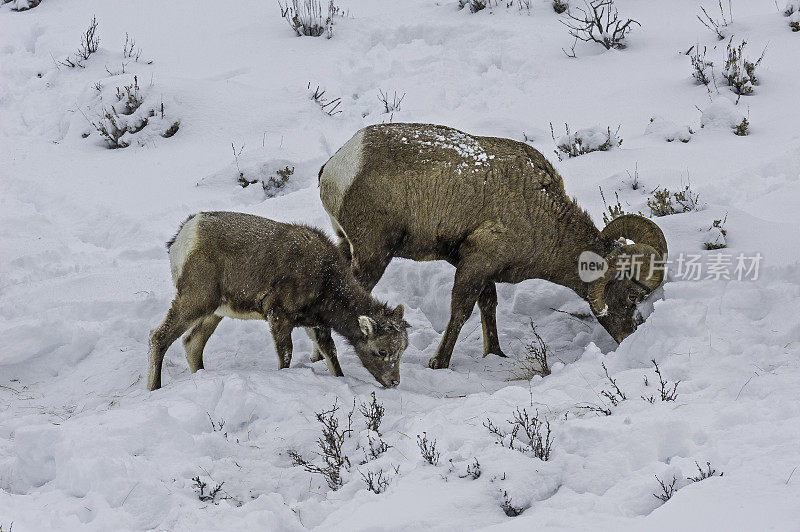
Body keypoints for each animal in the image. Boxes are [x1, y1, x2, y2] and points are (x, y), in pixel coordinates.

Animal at [145, 212, 406, 390]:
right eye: (381, 351)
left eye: (402, 349)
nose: (394, 381)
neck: (327, 283)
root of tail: (182, 237)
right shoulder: (278, 314)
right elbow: (286, 356)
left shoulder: (316, 325)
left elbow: (333, 359)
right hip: (196, 297)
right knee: (159, 336)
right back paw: (154, 388)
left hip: (216, 310)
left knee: (192, 342)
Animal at [318, 123, 668, 370]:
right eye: (632, 296)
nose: (629, 337)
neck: (539, 212)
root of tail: (337, 167)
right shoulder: (476, 264)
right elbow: (461, 311)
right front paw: (439, 363)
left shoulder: (483, 269)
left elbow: (489, 306)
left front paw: (495, 353)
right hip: (373, 254)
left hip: (347, 246)